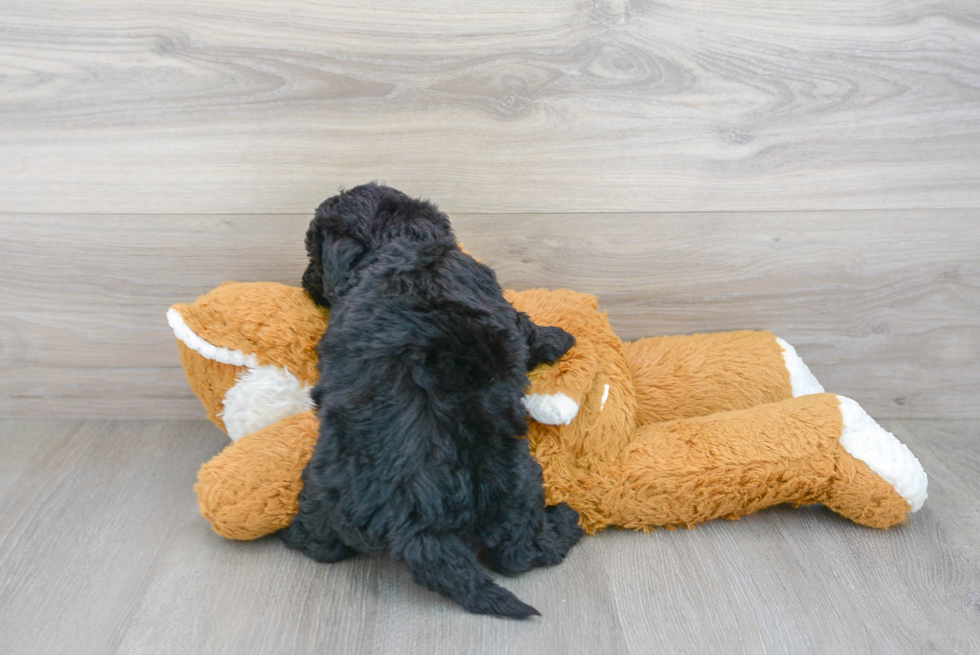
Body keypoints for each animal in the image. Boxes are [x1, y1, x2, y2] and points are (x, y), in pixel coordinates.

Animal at [280, 183, 580, 620]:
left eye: (312, 253)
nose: (305, 282)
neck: (399, 245)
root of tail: (414, 526)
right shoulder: (499, 302)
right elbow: (526, 327)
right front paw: (559, 337)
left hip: (322, 489)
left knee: (323, 545)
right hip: (521, 483)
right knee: (519, 554)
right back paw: (565, 523)